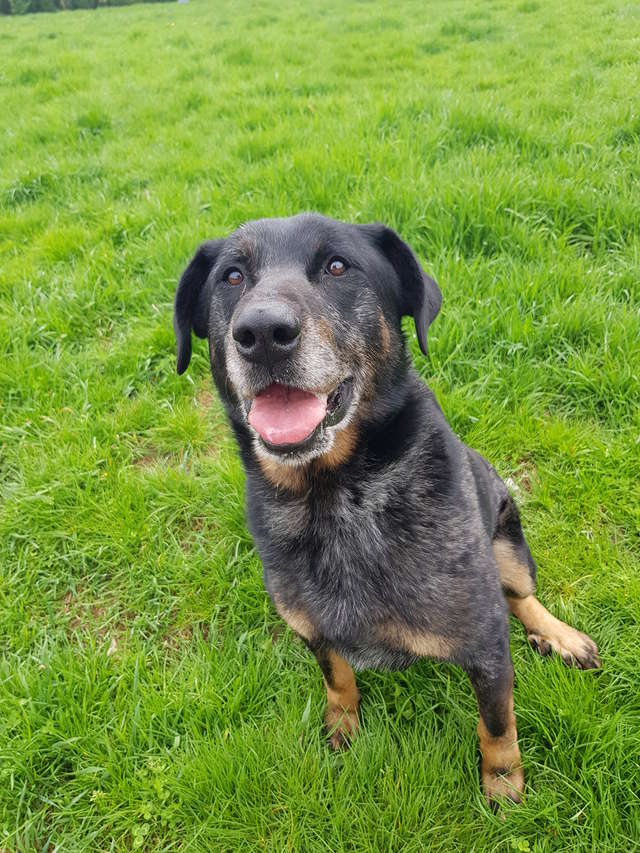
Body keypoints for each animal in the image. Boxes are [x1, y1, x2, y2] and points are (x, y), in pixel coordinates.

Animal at [174, 213, 600, 804]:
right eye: (232, 277)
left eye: (337, 266)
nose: (261, 334)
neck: (336, 498)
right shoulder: (315, 632)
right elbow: (338, 680)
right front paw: (342, 728)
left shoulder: (487, 644)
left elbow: (497, 726)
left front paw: (503, 789)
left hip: (506, 529)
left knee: (522, 595)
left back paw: (560, 636)